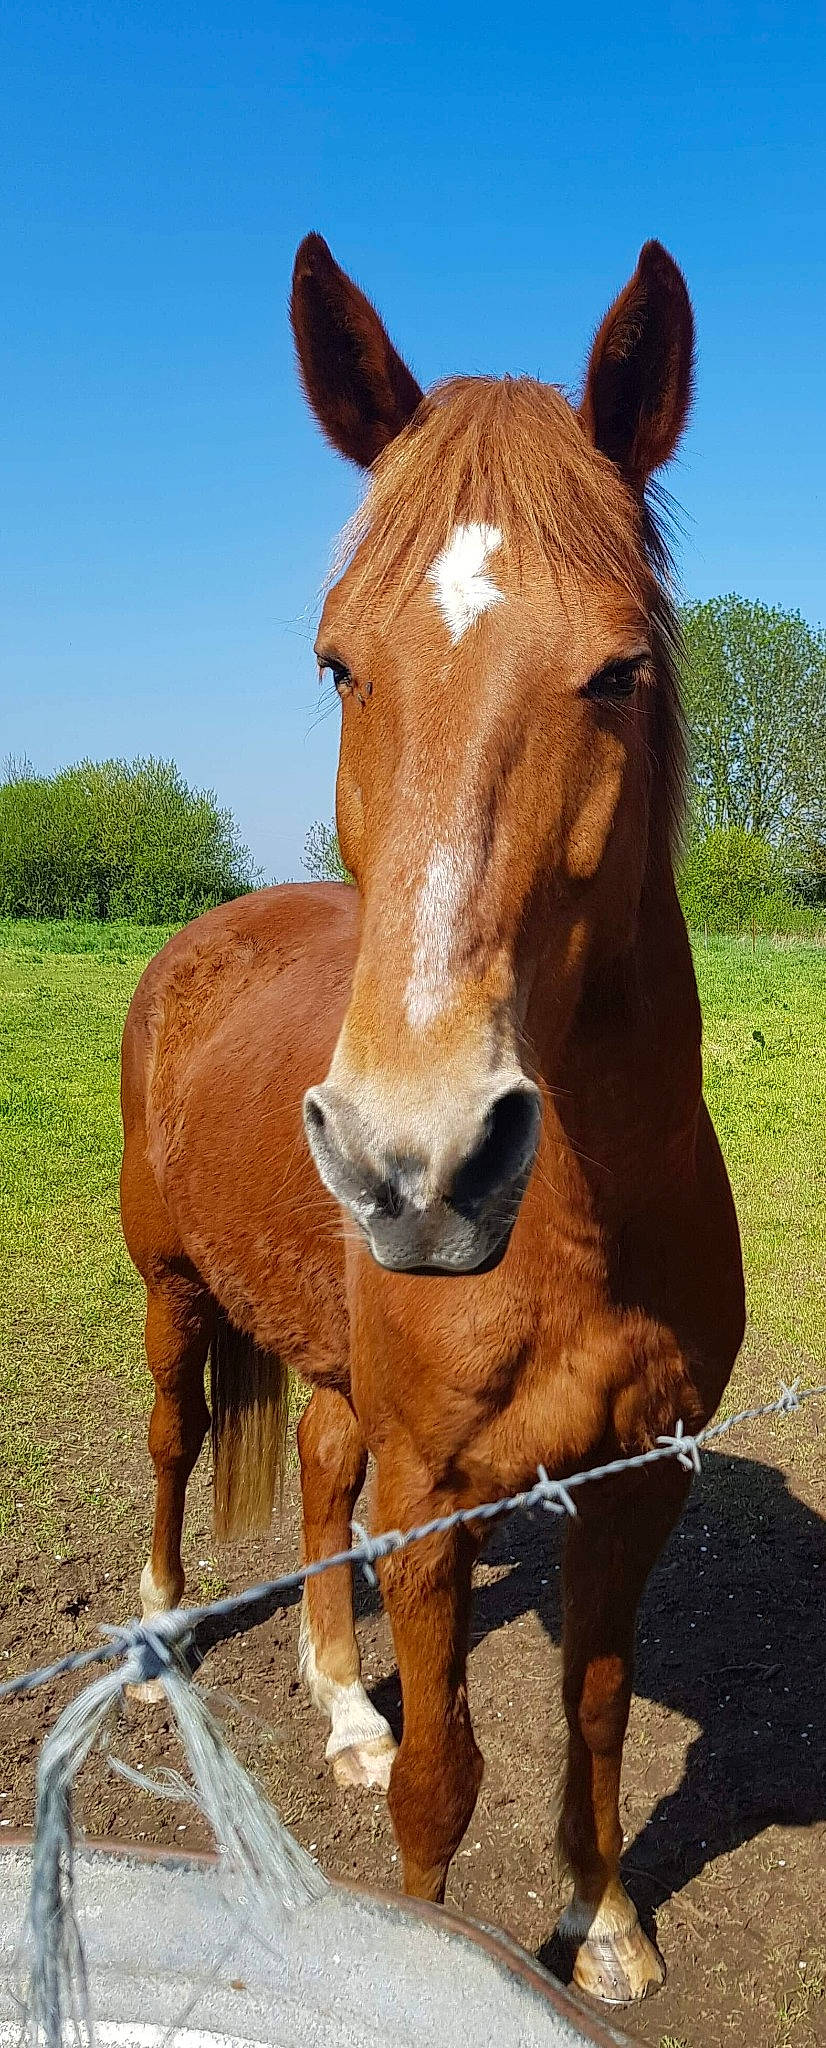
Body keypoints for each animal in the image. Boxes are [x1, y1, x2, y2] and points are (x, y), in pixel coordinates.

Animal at [120, 232, 745, 2005]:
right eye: (340, 662)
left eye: (617, 671)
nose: (418, 1159)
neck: (582, 1236)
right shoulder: (440, 1497)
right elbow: (446, 1779)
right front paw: (419, 1945)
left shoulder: (637, 1481)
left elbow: (594, 1716)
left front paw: (605, 1921)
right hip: (173, 1295)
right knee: (178, 1442)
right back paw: (164, 1627)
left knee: (318, 1466)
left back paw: (337, 1703)